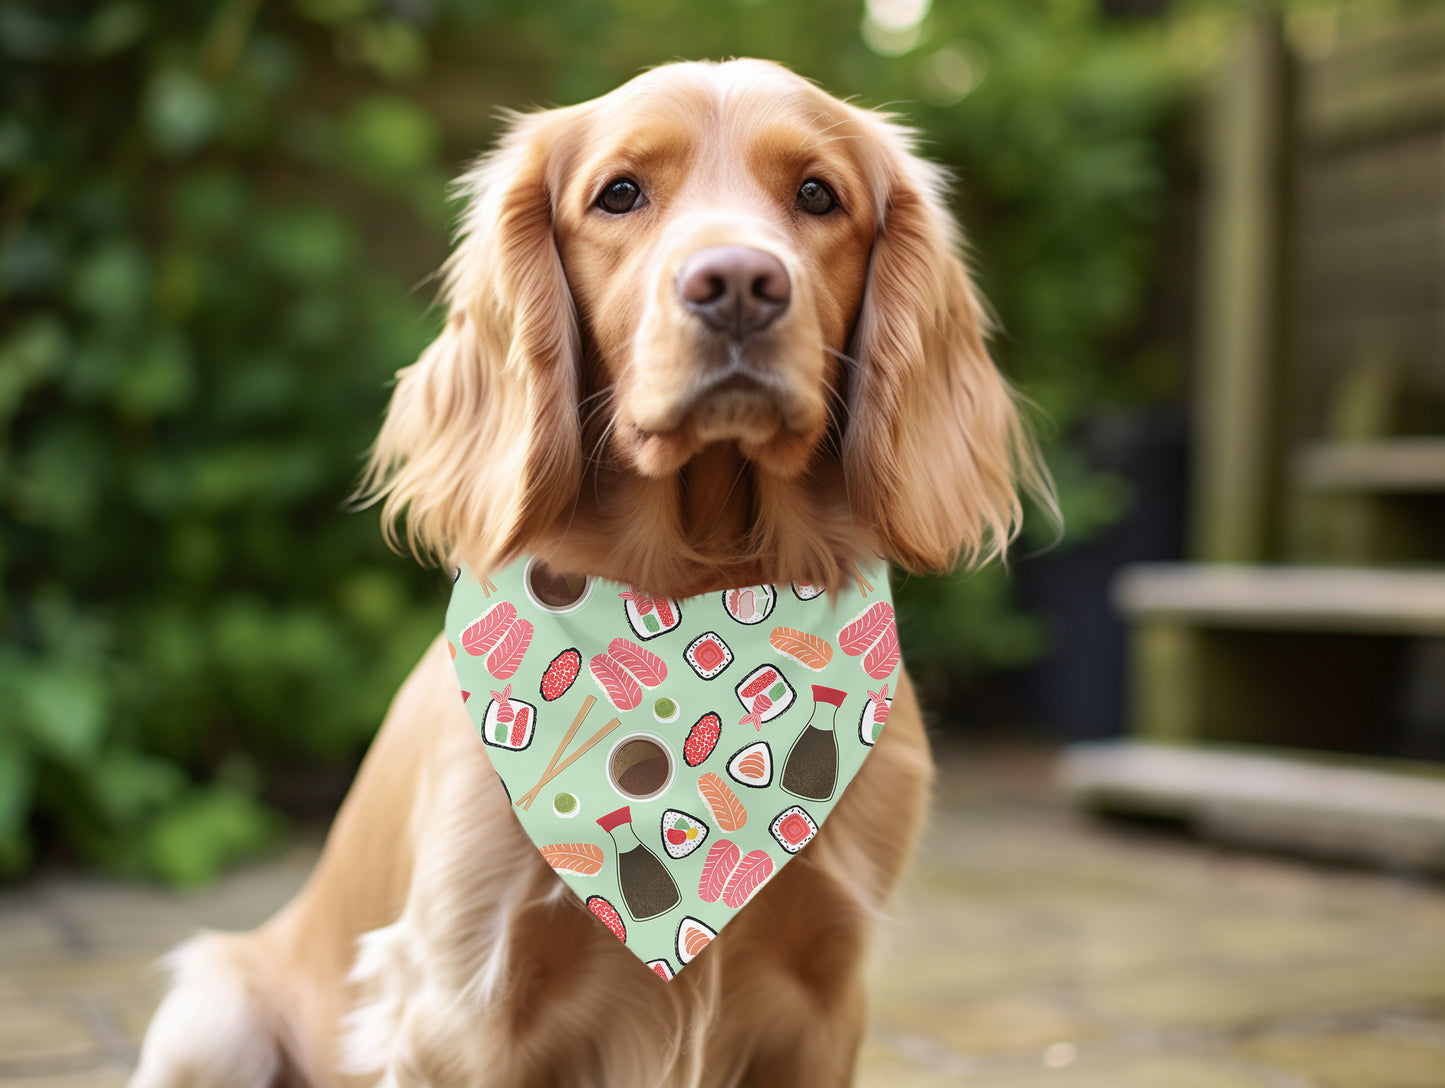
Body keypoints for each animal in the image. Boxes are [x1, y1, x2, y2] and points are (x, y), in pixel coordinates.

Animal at [130, 59, 1051, 1086]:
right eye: (619, 193)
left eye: (818, 195)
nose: (738, 284)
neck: (699, 591)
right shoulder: (463, 1004)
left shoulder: (824, 998)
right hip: (211, 1016)